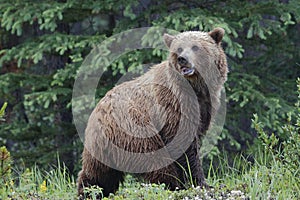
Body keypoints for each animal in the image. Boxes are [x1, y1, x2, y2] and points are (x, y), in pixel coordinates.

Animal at [77, 27, 227, 198]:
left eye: (195, 47)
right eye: (179, 49)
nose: (182, 59)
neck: (196, 88)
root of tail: (98, 111)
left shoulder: (204, 107)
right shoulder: (174, 105)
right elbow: (185, 143)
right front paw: (200, 182)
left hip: (101, 146)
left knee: (99, 173)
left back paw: (89, 191)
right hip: (137, 131)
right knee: (156, 161)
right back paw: (171, 185)